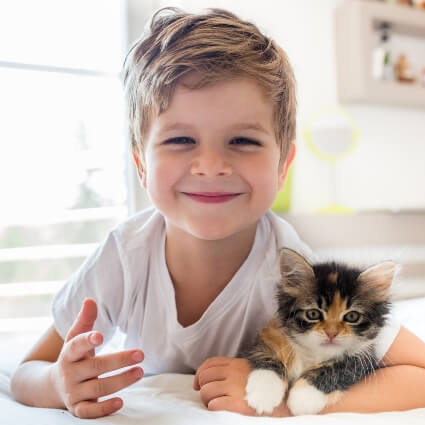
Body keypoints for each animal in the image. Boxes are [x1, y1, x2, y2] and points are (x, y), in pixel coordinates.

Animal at [240, 247, 396, 416]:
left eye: (352, 316)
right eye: (313, 314)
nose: (331, 333)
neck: (314, 353)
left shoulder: (365, 359)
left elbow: (338, 368)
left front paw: (303, 398)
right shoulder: (270, 335)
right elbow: (267, 354)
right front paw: (264, 393)